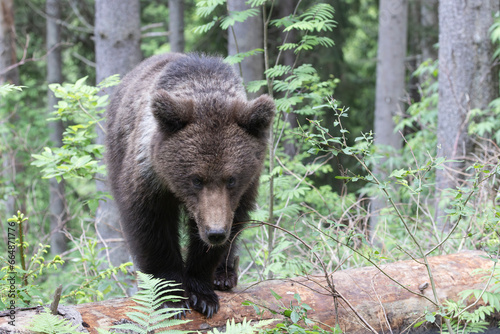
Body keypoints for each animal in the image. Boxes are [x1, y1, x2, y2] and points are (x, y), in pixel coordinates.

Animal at [104, 52, 274, 318]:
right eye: (196, 179)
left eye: (231, 179)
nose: (215, 233)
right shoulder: (150, 177)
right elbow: (153, 228)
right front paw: (171, 298)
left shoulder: (244, 189)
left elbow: (231, 224)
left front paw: (203, 294)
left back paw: (225, 274)